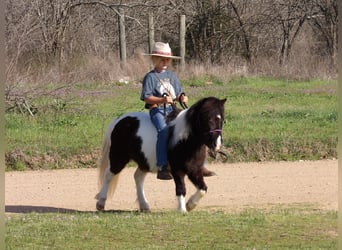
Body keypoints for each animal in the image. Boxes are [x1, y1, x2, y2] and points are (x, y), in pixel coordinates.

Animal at [95, 96, 226, 212]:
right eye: (208, 119)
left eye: (222, 120)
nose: (217, 144)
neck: (184, 140)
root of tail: (119, 120)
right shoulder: (177, 170)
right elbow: (181, 188)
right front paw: (182, 209)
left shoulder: (195, 170)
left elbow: (203, 189)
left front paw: (190, 205)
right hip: (118, 157)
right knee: (108, 175)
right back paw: (101, 203)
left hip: (144, 161)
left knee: (138, 177)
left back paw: (144, 205)